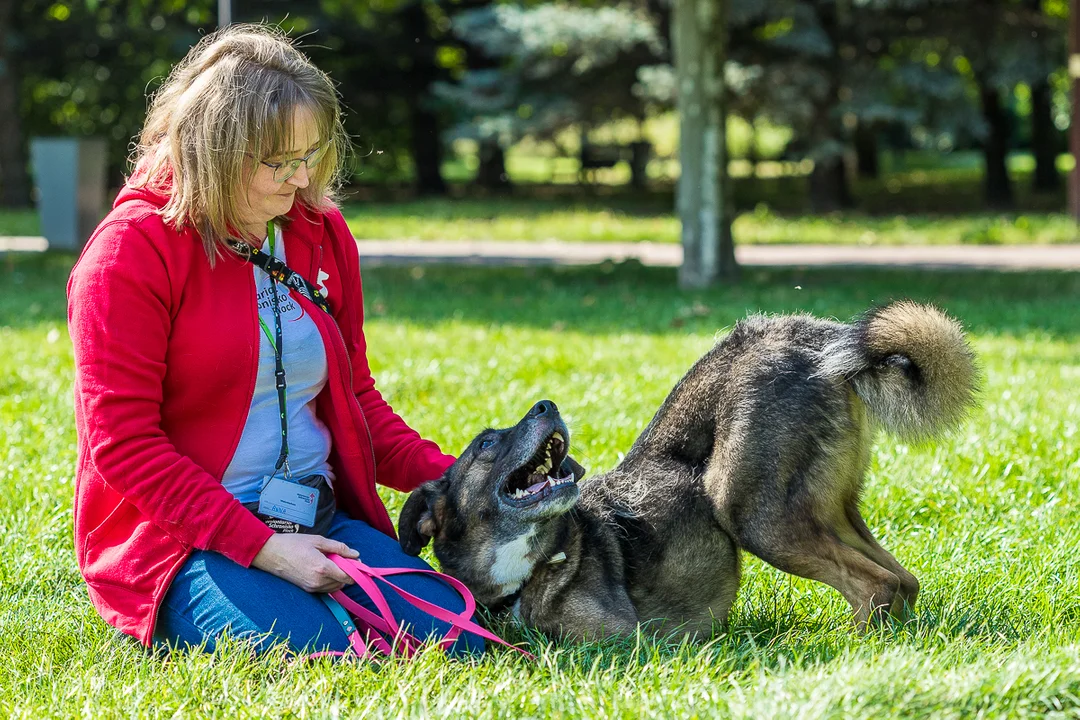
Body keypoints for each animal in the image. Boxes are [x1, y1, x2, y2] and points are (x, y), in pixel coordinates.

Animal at [399, 302, 980, 639]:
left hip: (752, 513)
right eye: (485, 443)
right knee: (902, 581)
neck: (530, 567)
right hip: (825, 507)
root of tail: (820, 340)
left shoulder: (618, 642)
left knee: (877, 585)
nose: (547, 405)